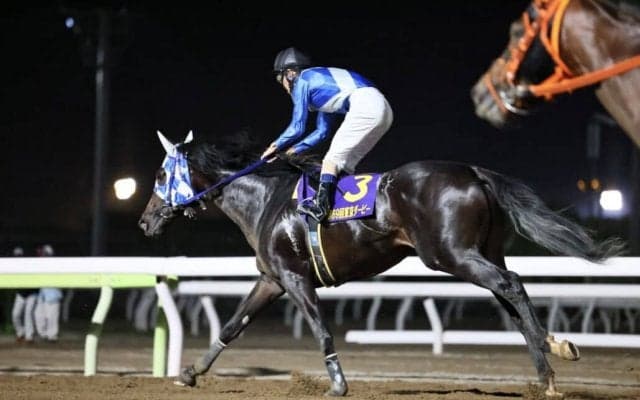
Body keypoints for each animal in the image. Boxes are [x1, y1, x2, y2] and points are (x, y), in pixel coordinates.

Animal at [138, 129, 625, 399]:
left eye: (161, 174)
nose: (145, 220)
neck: (267, 202)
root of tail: (474, 172)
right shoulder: (271, 279)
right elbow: (231, 326)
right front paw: (189, 374)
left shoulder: (296, 278)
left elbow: (320, 328)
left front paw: (337, 384)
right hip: (481, 251)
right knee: (509, 299)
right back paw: (545, 375)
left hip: (451, 255)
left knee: (512, 283)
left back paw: (555, 347)